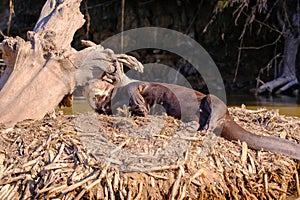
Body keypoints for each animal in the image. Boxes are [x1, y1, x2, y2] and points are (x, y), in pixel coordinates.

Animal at [84, 78, 300, 159]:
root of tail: (228, 118)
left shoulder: (132, 87)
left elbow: (135, 92)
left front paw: (139, 106)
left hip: (213, 101)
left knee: (213, 114)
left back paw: (203, 128)